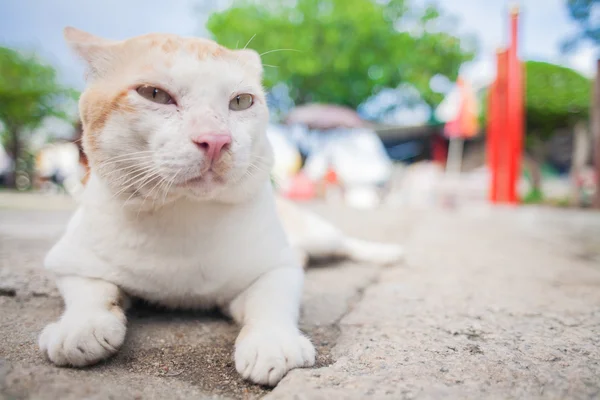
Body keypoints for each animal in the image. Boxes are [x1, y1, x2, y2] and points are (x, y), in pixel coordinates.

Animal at [38, 27, 404, 388]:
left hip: (318, 235)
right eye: (154, 94)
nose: (216, 140)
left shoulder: (277, 267)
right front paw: (80, 327)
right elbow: (91, 293)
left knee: (344, 243)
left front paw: (272, 341)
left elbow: (271, 301)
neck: (183, 215)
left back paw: (386, 253)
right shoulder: (69, 261)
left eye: (241, 101)